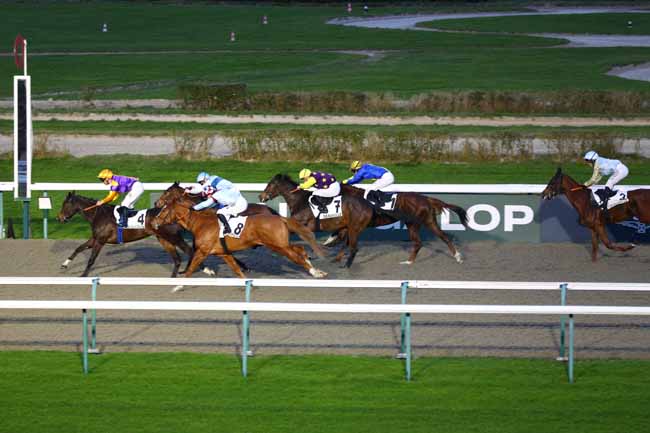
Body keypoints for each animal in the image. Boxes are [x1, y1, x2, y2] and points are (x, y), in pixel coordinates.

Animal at [57, 192, 192, 276]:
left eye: (65, 204)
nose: (59, 218)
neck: (98, 214)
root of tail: (174, 214)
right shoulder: (95, 239)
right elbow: (78, 248)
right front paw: (64, 265)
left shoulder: (100, 241)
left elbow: (91, 259)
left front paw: (83, 275)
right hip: (163, 239)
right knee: (177, 259)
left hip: (173, 237)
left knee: (189, 251)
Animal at [151, 195, 324, 280]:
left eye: (164, 210)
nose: (153, 222)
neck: (200, 222)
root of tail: (280, 217)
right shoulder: (222, 251)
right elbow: (235, 267)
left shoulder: (204, 249)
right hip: (281, 243)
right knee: (299, 249)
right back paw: (313, 266)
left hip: (277, 245)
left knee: (296, 256)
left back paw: (315, 272)